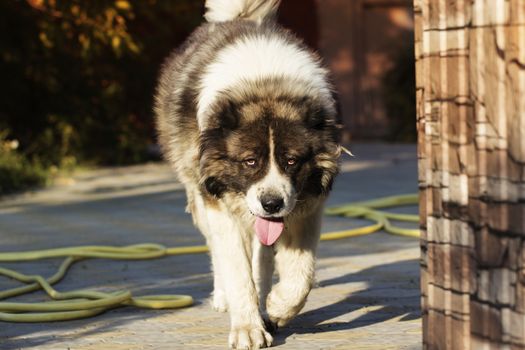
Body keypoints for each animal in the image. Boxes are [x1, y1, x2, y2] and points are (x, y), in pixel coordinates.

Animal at [152, 1, 340, 348]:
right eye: (250, 162)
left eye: (291, 161)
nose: (272, 204)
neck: (264, 84)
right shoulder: (218, 204)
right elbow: (237, 272)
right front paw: (247, 328)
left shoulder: (309, 207)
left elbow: (301, 272)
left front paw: (278, 306)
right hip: (201, 198)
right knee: (218, 252)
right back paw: (224, 297)